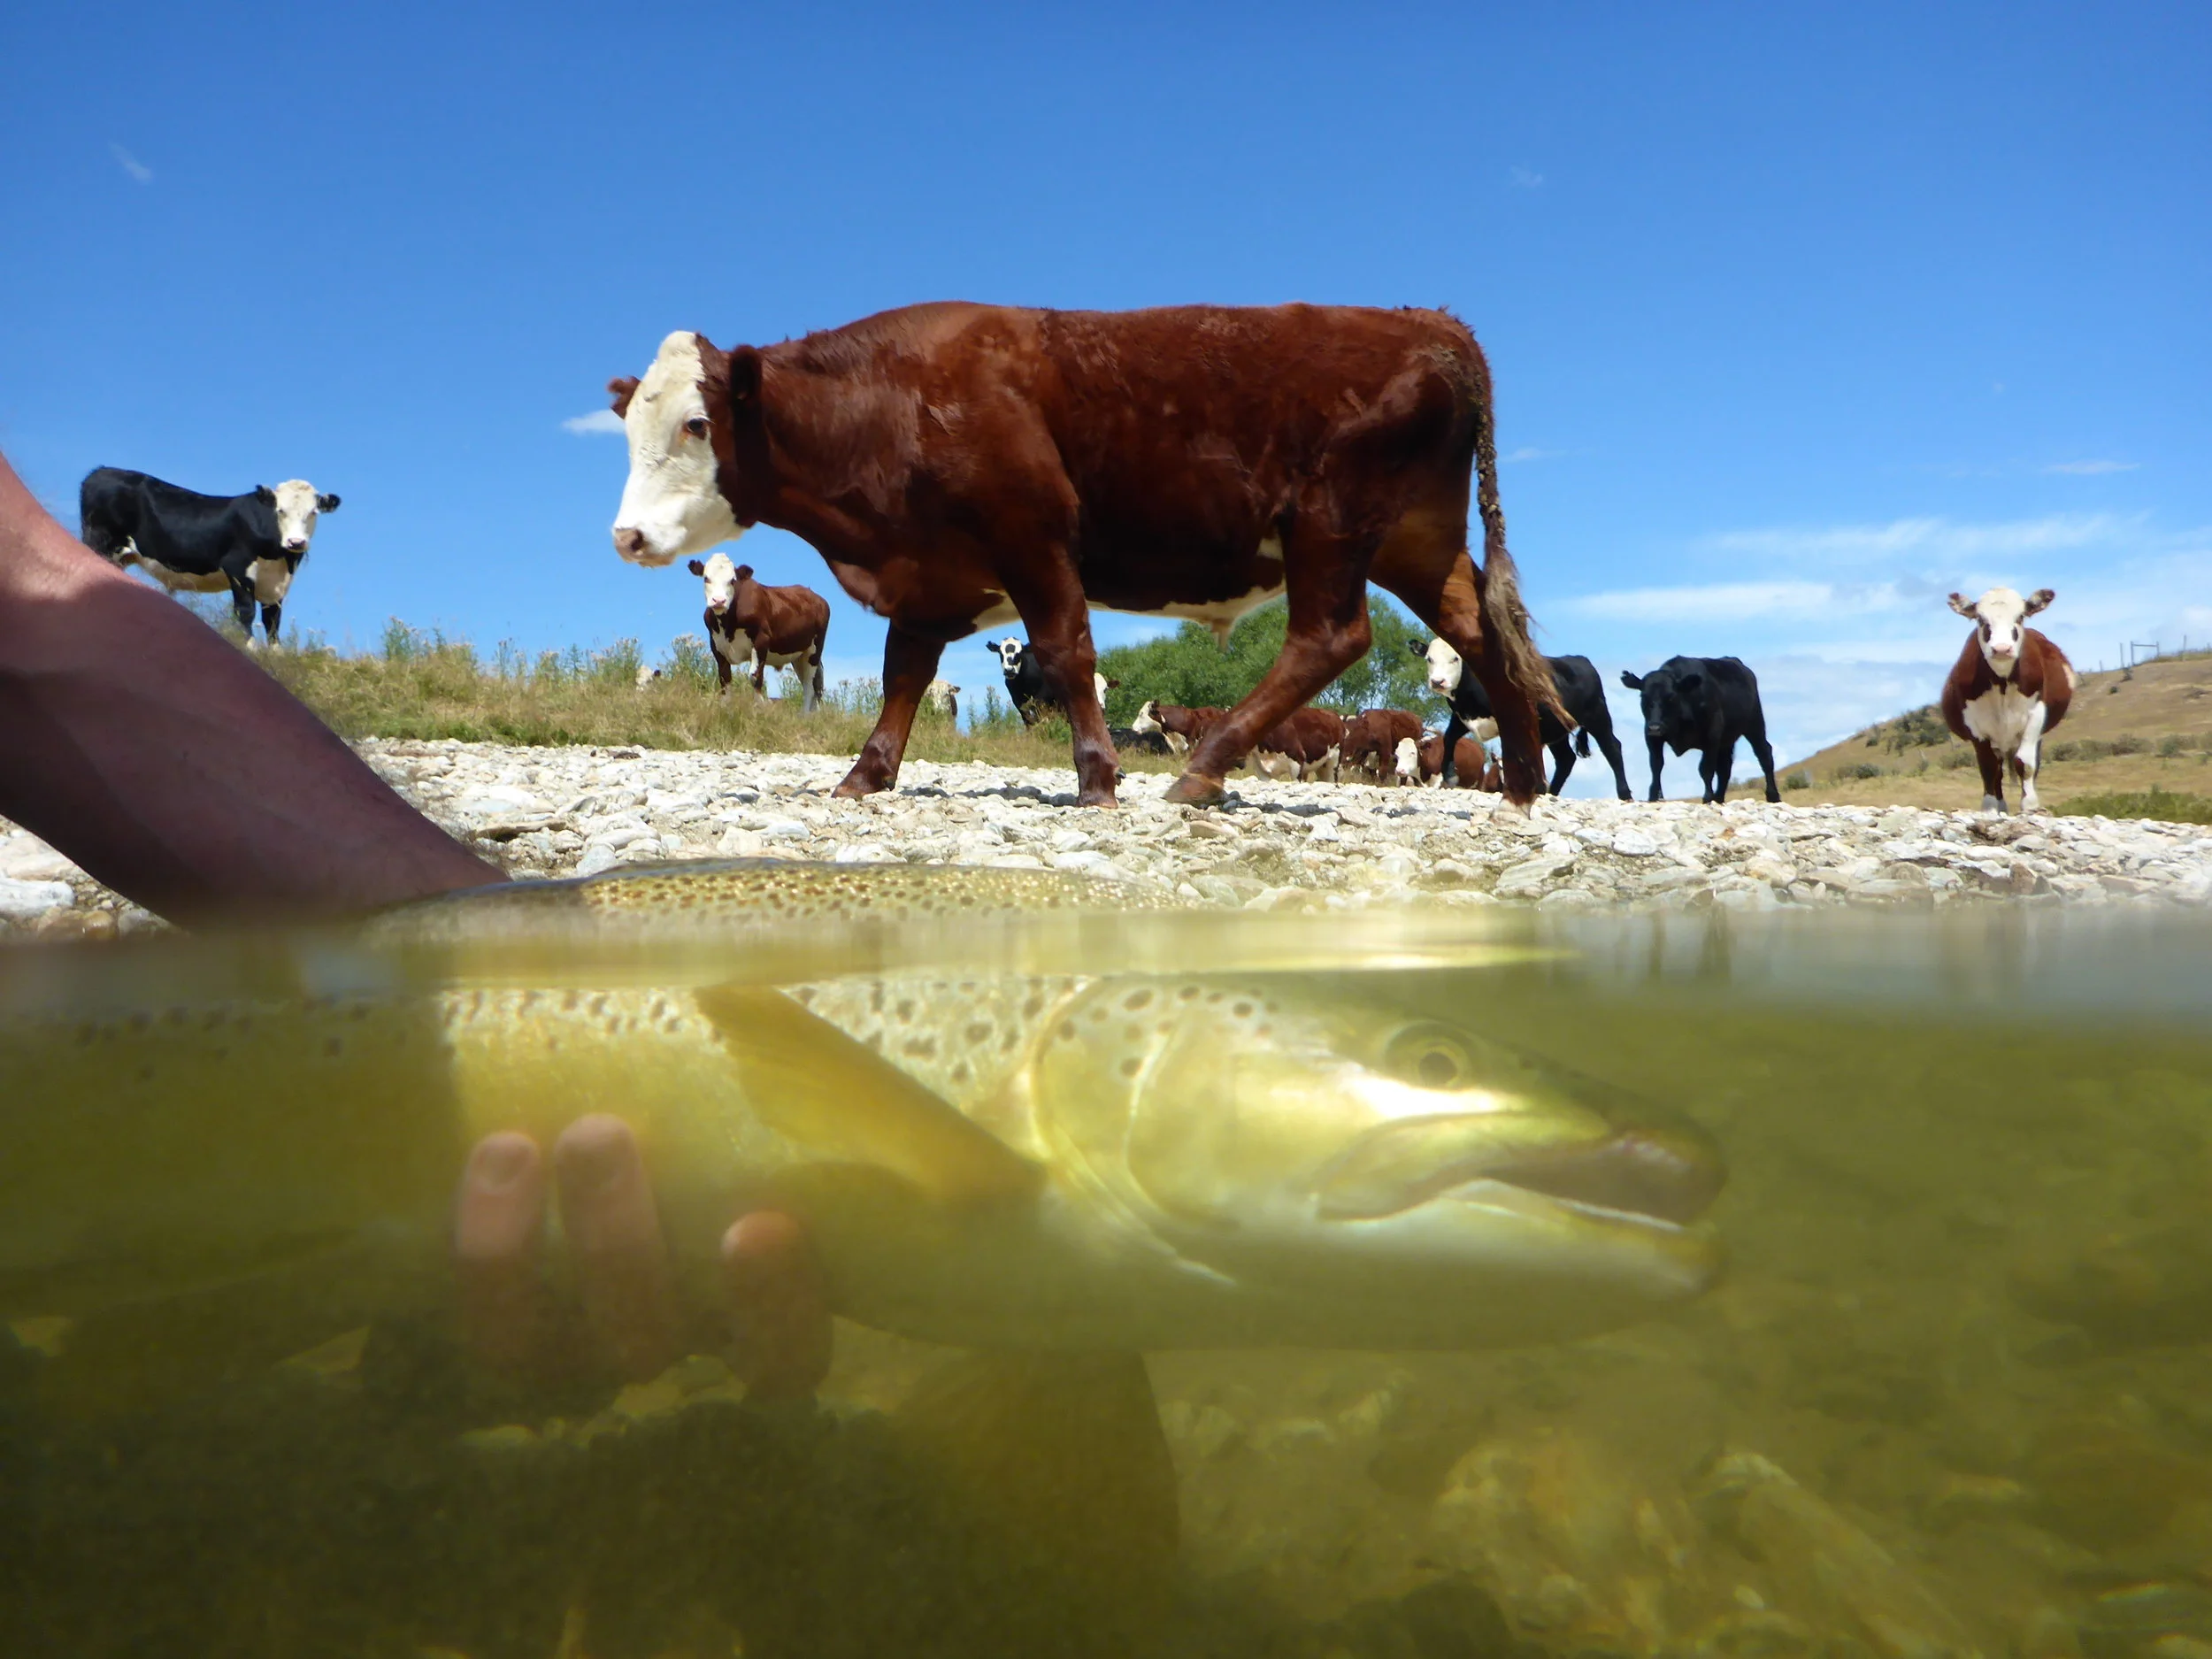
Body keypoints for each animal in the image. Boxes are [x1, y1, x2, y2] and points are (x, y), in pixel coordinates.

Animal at [78, 467, 338, 645]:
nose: (296, 542)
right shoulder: (238, 568)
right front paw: (250, 650)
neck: (281, 559)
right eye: (280, 510)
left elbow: (272, 623)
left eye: (313, 512)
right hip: (100, 540)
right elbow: (245, 613)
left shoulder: (276, 587)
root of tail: (100, 471)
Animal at [685, 554, 830, 711]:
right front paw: (725, 707)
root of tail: (816, 597)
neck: (728, 625)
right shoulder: (716, 645)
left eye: (732, 580)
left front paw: (761, 707)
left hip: (814, 649)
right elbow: (725, 678)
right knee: (812, 683)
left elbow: (754, 676)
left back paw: (804, 715)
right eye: (706, 578)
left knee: (810, 685)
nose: (719, 601)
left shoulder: (762, 639)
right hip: (798, 655)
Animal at [1412, 639, 1631, 798]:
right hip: (1554, 728)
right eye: (1429, 658)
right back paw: (1551, 793)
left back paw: (1624, 794)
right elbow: (1449, 738)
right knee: (1566, 759)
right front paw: (1449, 775)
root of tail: (1580, 659)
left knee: (1612, 748)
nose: (1438, 682)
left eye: (1456, 658)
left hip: (1597, 716)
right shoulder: (1461, 716)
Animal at [1620, 657, 1780, 804]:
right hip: (1726, 740)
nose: (1655, 727)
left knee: (1764, 754)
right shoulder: (1652, 737)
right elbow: (1656, 765)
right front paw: (1654, 796)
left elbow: (1706, 768)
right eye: (1643, 696)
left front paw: (1707, 797)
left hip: (1755, 724)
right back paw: (1719, 798)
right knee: (1725, 767)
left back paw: (1773, 795)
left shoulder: (1712, 735)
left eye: (1671, 696)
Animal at [1940, 587, 2075, 814]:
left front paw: (2029, 804)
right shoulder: (1975, 724)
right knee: (1997, 770)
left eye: (2020, 617)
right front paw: (1990, 807)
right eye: (1980, 619)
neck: (2001, 681)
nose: (2002, 649)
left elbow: (2025, 763)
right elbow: (1988, 767)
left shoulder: (2035, 715)